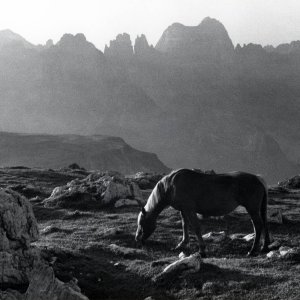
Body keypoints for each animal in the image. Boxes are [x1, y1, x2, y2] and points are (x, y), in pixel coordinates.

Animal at [135, 169, 270, 255]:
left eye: (142, 223)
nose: (138, 240)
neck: (171, 186)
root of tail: (258, 180)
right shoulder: (183, 210)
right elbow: (184, 225)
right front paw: (182, 244)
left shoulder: (189, 210)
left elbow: (195, 227)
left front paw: (202, 250)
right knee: (263, 224)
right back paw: (264, 247)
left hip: (252, 209)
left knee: (258, 226)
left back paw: (252, 250)